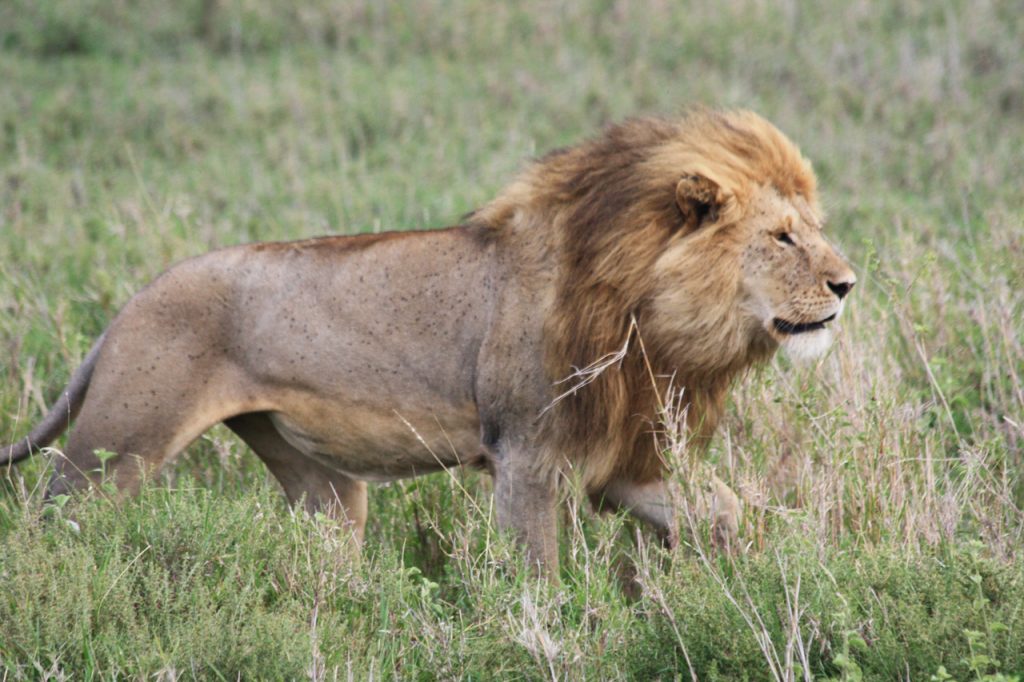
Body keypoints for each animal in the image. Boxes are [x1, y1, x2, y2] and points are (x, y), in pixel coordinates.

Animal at [2, 110, 854, 573]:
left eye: (814, 230)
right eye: (783, 238)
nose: (848, 284)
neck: (649, 312)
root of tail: (128, 306)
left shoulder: (621, 459)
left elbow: (725, 509)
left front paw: (740, 573)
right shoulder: (526, 456)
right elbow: (537, 573)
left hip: (317, 481)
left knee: (327, 556)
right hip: (120, 442)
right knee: (50, 522)